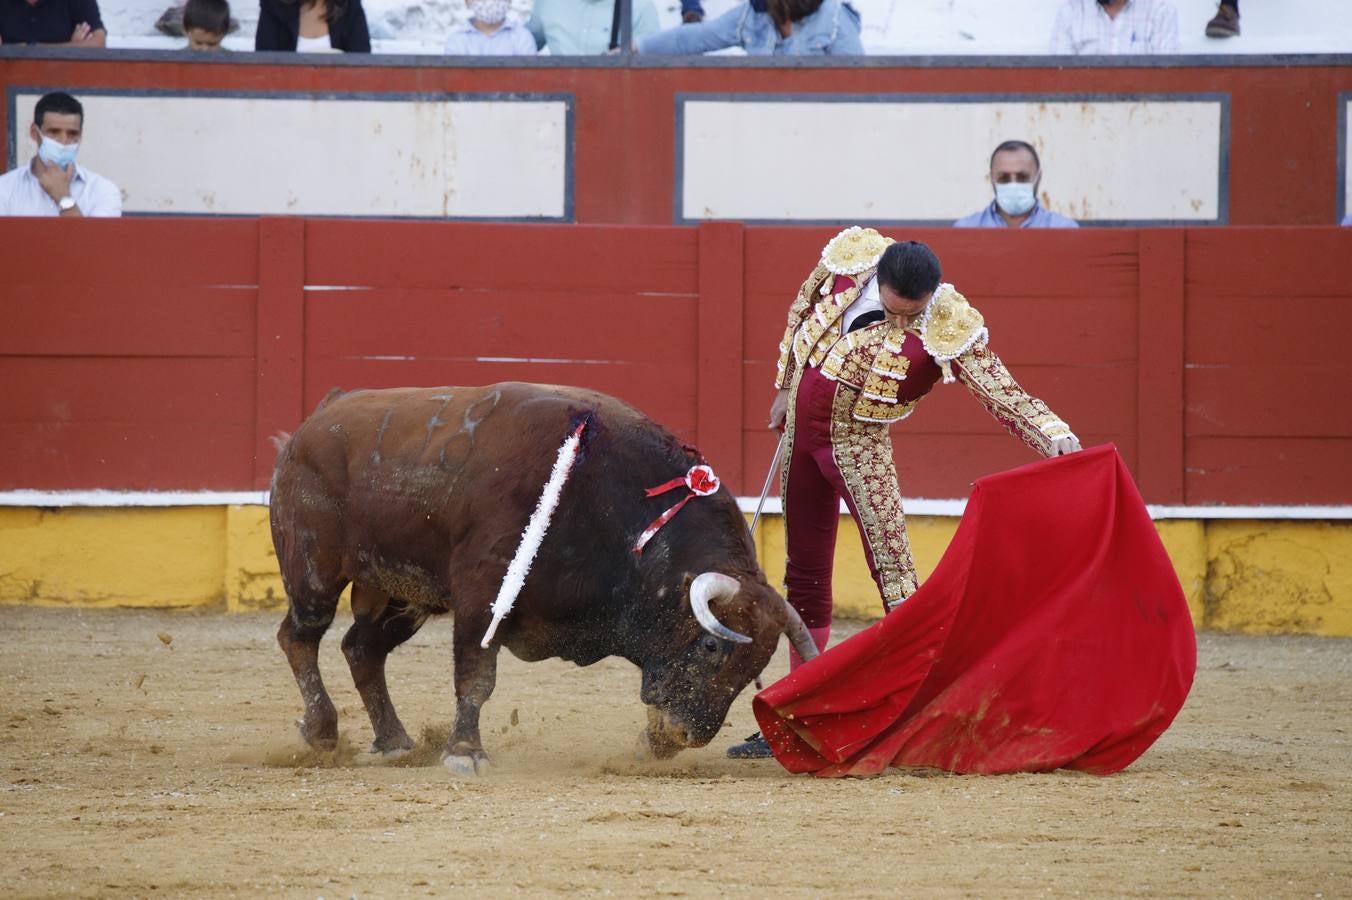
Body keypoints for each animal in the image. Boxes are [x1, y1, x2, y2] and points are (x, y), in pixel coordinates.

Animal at [264, 381, 811, 772]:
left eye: (758, 666)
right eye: (712, 645)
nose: (685, 735)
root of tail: (319, 417)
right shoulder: (483, 596)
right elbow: (477, 677)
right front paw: (465, 753)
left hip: (398, 591)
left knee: (361, 649)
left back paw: (395, 742)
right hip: (314, 572)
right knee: (300, 636)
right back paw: (323, 732)